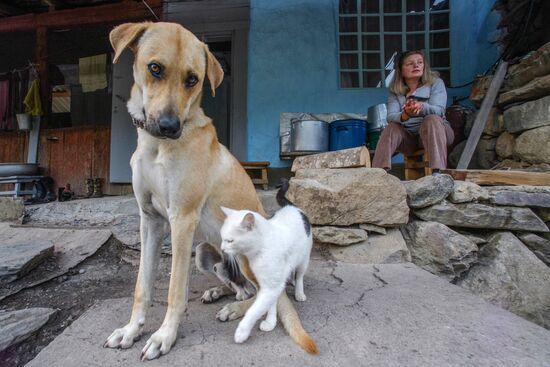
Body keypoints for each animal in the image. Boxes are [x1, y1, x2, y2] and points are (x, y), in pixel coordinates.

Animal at [220, 181, 314, 344]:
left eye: (230, 241)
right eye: (222, 238)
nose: (222, 249)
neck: (260, 249)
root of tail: (292, 207)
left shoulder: (270, 286)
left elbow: (254, 310)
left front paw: (241, 332)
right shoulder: (268, 283)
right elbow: (271, 304)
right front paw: (271, 322)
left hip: (304, 258)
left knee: (300, 276)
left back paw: (299, 292)